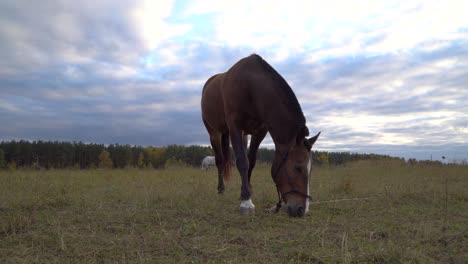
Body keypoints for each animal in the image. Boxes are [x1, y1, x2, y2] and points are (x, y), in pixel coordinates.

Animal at [199, 53, 320, 217]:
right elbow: (242, 162)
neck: (250, 87)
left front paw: (246, 192)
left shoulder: (259, 132)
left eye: (311, 169)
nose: (302, 210)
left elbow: (251, 161)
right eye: (297, 167)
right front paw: (246, 202)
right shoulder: (235, 127)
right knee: (220, 161)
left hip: (243, 136)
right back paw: (221, 189)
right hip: (214, 132)